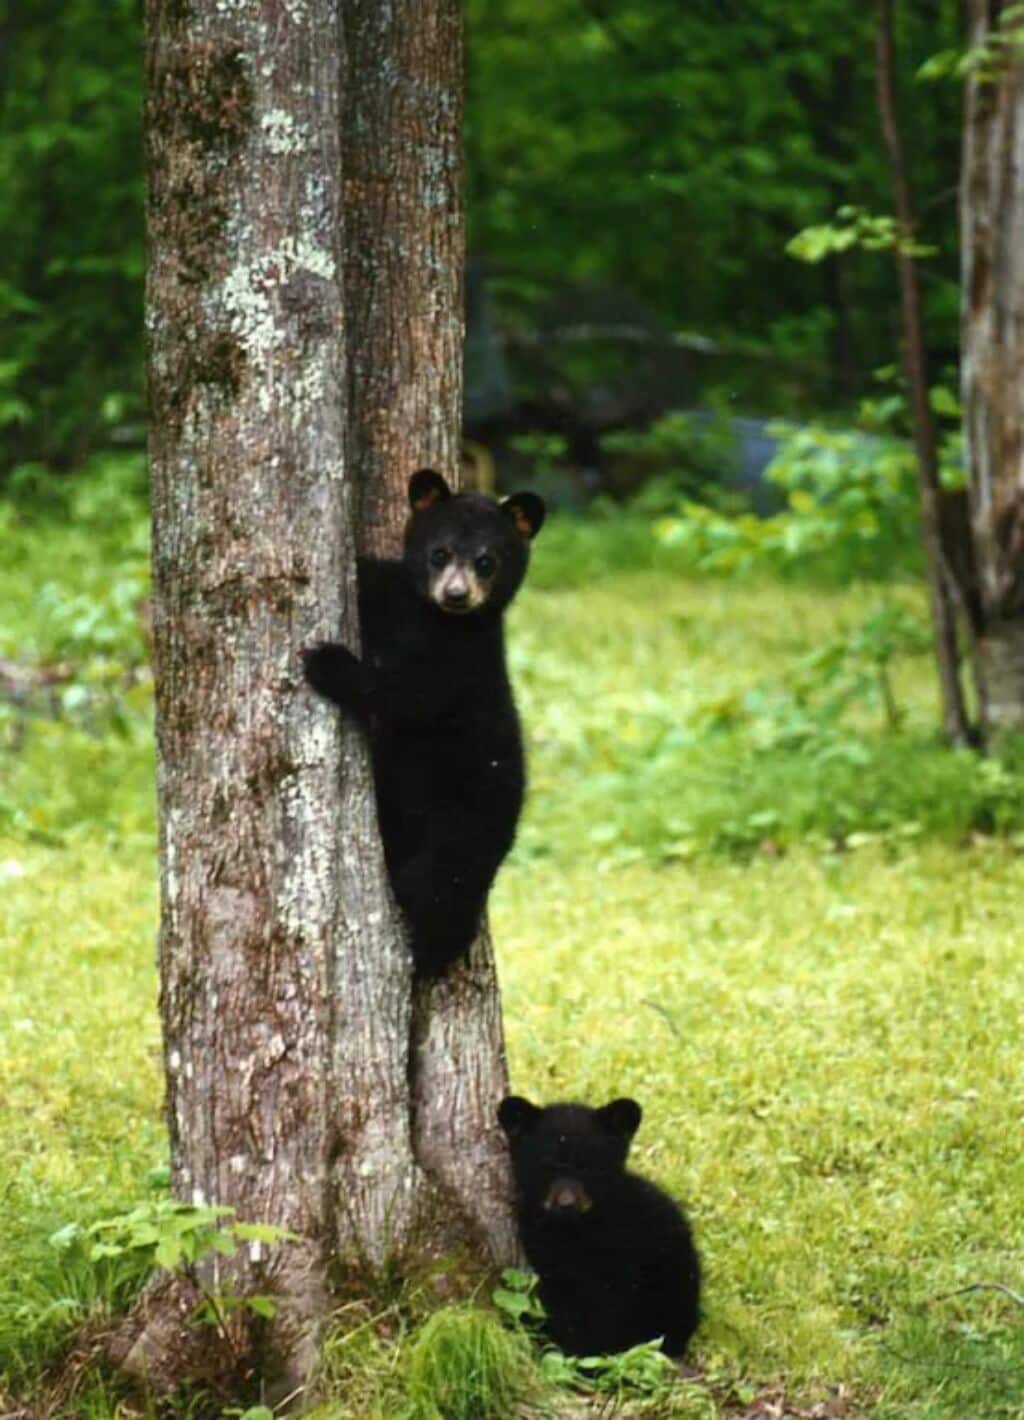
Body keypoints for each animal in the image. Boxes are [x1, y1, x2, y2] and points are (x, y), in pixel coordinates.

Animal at [303, 468, 545, 978]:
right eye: (439, 553)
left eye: (486, 561)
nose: (456, 594)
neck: (433, 621)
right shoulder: (394, 596)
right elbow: (371, 578)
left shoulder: (462, 665)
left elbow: (410, 697)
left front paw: (329, 663)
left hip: (460, 831)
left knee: (438, 894)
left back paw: (427, 957)